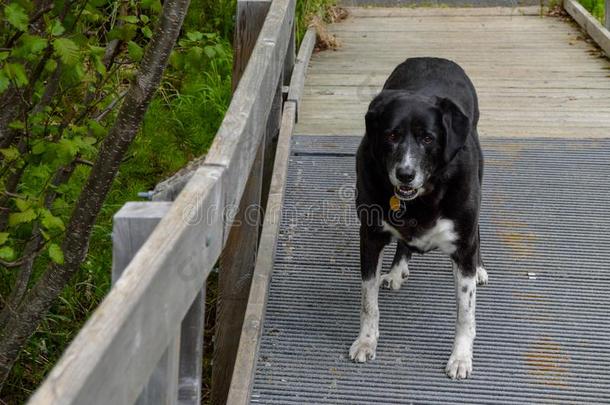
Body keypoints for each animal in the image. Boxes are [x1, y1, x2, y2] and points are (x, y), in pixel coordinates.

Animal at [350, 57, 486, 378]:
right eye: (391, 136)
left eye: (428, 138)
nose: (405, 174)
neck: (423, 196)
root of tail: (432, 58)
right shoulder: (370, 237)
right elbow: (368, 301)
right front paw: (367, 341)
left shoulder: (463, 245)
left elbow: (465, 312)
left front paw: (461, 356)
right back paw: (397, 269)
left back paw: (480, 267)